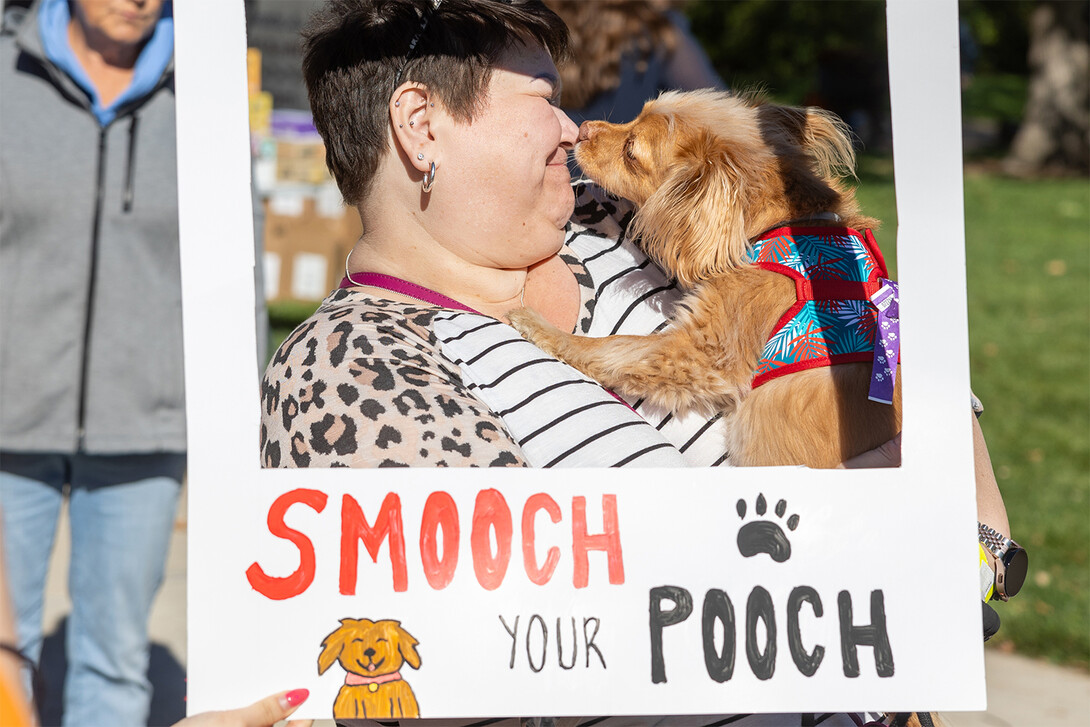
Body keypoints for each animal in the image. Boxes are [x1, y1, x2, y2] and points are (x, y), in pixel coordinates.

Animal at [510, 91, 902, 468]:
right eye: (634, 116)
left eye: (631, 151)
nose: (584, 127)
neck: (788, 225)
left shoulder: (700, 351)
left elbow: (609, 347)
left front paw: (537, 324)